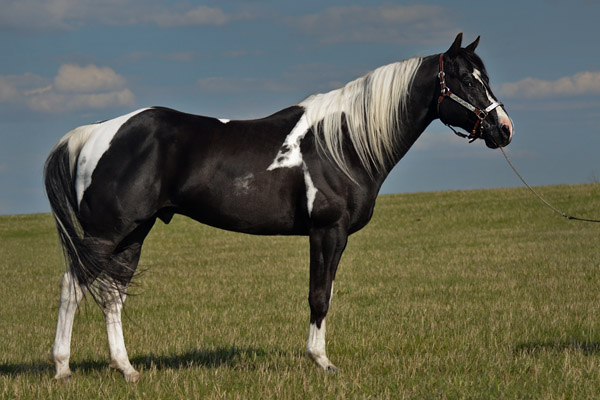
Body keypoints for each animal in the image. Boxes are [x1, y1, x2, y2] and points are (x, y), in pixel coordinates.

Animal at [43, 33, 510, 382]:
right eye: (466, 80)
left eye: (484, 77)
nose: (503, 129)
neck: (340, 142)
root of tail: (92, 135)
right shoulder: (327, 231)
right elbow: (319, 295)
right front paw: (322, 362)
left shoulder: (332, 237)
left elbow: (326, 292)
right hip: (106, 234)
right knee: (73, 286)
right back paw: (62, 368)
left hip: (133, 234)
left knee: (112, 294)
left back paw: (126, 369)